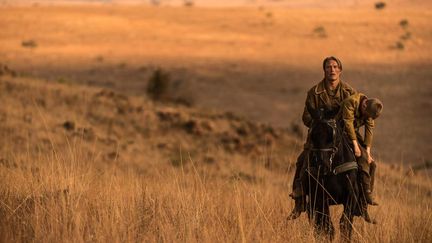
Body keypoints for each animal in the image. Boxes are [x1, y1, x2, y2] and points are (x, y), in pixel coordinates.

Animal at [304, 106, 364, 241]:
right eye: (312, 135)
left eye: (332, 135)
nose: (322, 166)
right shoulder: (320, 199)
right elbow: (327, 226)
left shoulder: (351, 197)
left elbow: (345, 223)